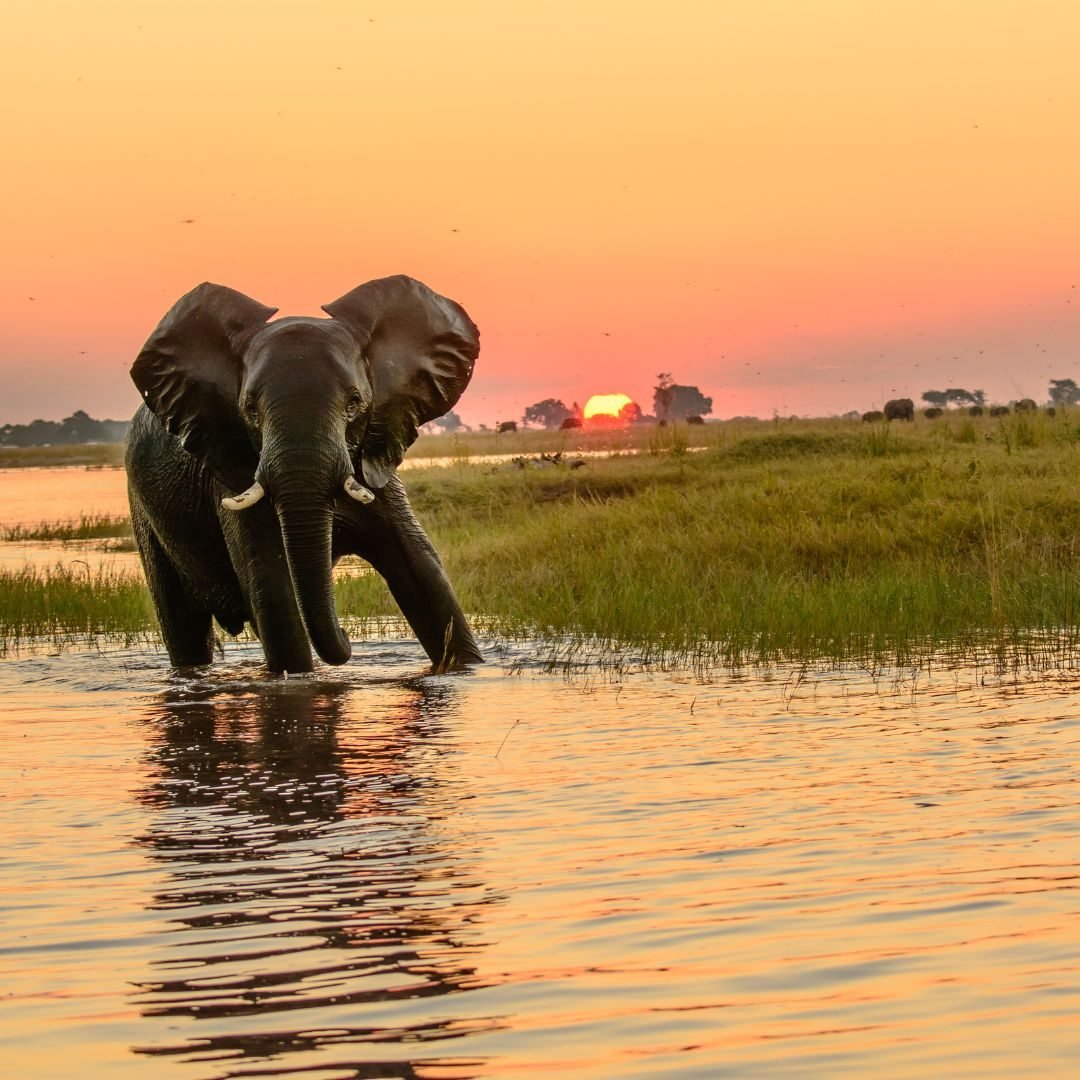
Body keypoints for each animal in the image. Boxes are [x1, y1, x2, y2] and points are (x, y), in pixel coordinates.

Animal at [125, 275, 483, 675]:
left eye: (355, 402)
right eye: (250, 409)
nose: (347, 636)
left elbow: (423, 573)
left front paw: (466, 670)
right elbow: (274, 592)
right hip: (144, 512)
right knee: (183, 625)